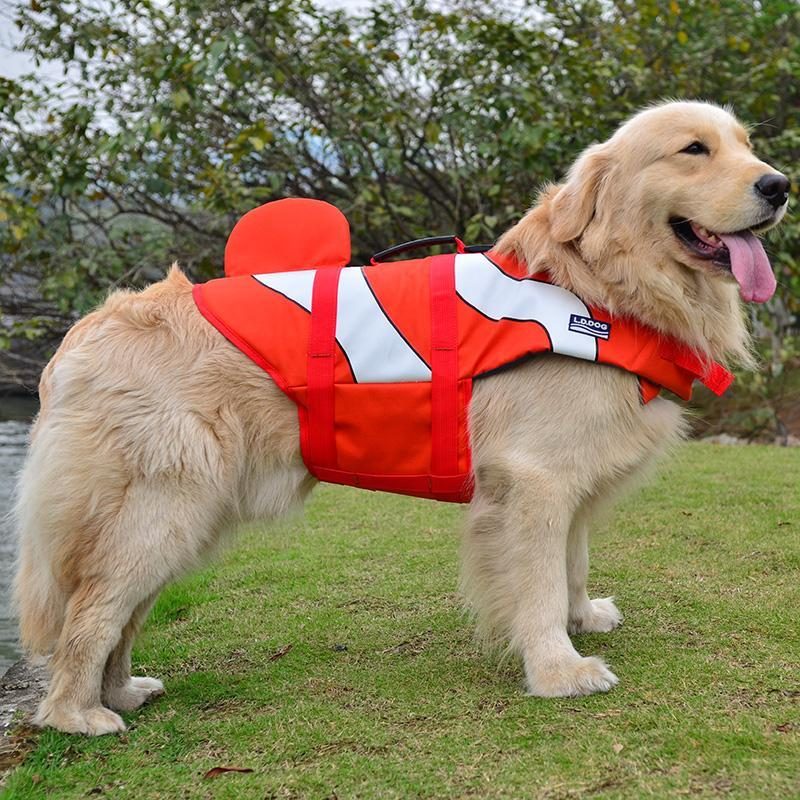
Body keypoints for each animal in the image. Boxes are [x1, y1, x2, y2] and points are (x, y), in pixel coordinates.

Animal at [10, 98, 788, 732]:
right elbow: (537, 581)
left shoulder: (568, 481)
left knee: (119, 616)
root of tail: (84, 331)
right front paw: (558, 669)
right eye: (693, 149)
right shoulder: (533, 481)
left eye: (746, 145)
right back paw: (78, 714)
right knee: (90, 615)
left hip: (181, 520)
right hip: (162, 512)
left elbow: (572, 561)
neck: (597, 287)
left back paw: (121, 691)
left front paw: (582, 618)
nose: (780, 185)